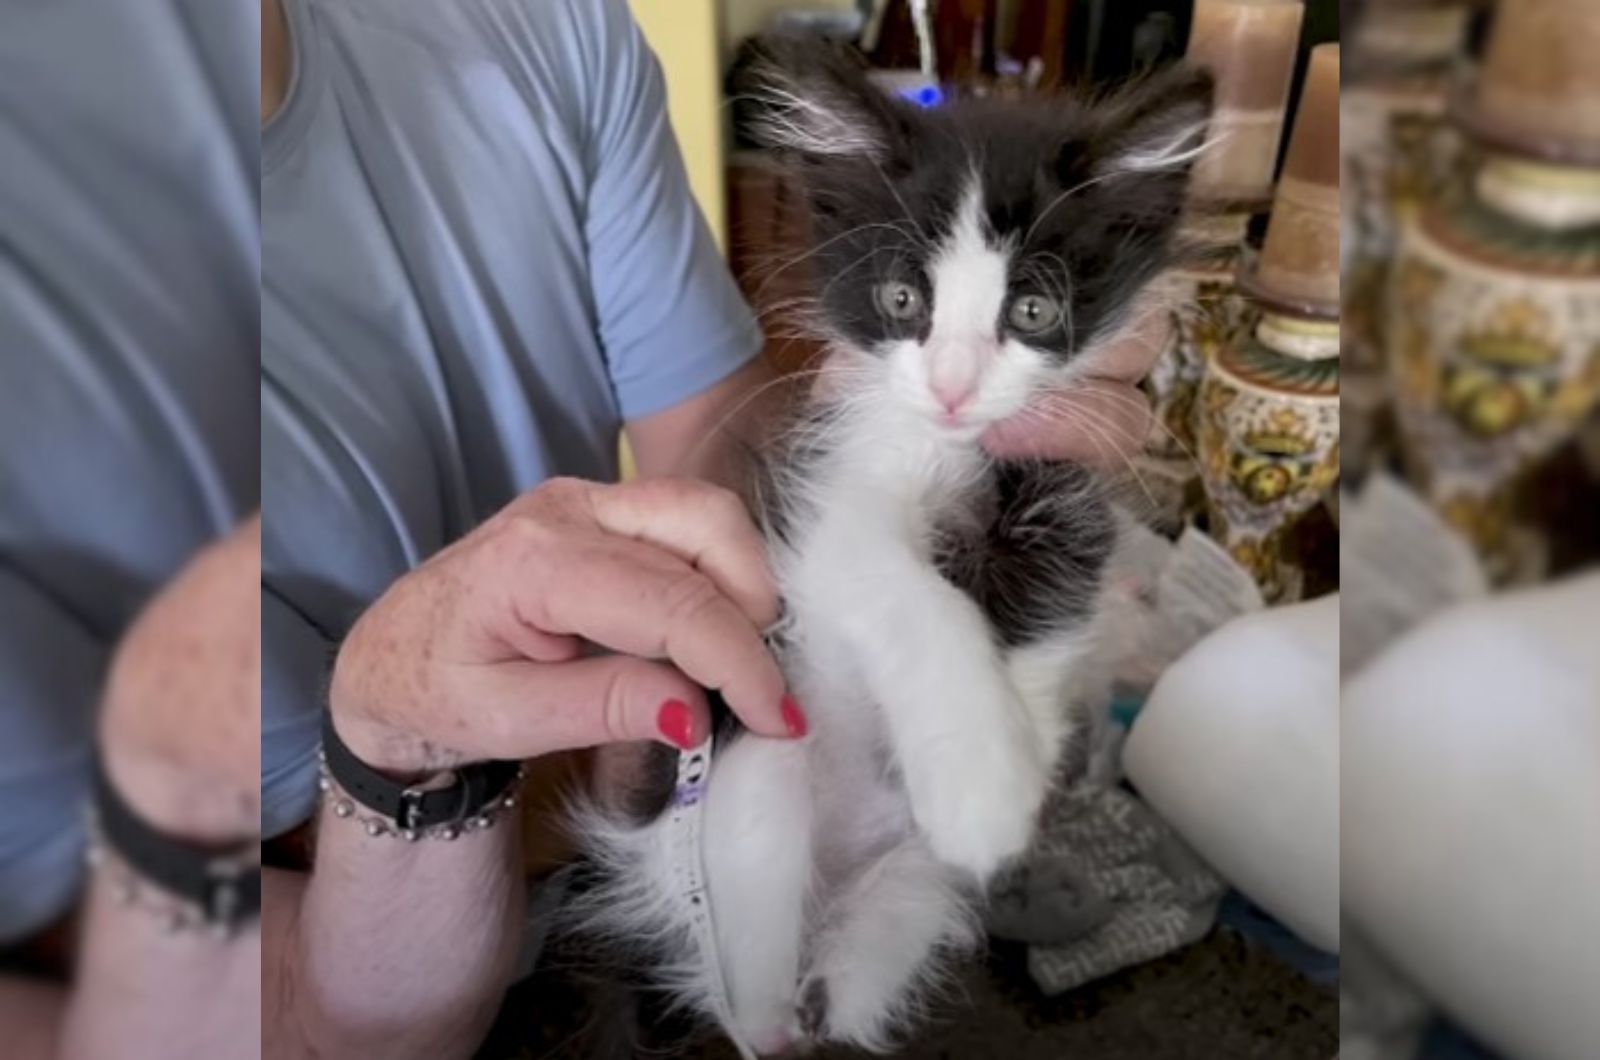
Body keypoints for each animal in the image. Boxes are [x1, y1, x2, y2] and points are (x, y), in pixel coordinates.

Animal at [560, 37, 1209, 1056]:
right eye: (903, 298)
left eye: (1032, 312)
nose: (949, 387)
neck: (956, 445)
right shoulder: (829, 510)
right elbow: (913, 595)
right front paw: (979, 776)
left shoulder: (1072, 479)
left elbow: (1051, 605)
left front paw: (1019, 752)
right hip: (751, 781)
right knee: (742, 989)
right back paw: (763, 1017)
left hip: (905, 899)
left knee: (851, 978)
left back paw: (826, 999)